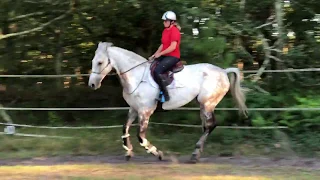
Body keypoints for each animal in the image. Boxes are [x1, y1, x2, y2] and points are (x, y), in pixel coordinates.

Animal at [89, 41, 249, 162]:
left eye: (100, 62)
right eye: (93, 62)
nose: (92, 85)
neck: (136, 76)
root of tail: (223, 71)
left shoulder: (145, 111)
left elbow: (141, 136)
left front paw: (158, 153)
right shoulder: (134, 109)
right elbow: (124, 129)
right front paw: (128, 152)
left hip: (208, 103)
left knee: (211, 125)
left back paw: (195, 154)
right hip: (203, 106)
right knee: (206, 126)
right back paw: (197, 153)